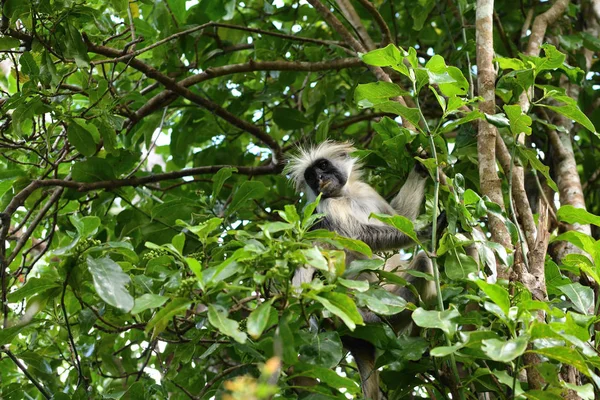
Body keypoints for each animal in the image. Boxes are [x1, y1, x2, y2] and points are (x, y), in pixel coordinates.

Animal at [284, 141, 442, 400]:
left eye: (323, 166)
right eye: (310, 176)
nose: (318, 178)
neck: (345, 195)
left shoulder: (366, 191)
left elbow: (400, 217)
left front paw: (420, 166)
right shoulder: (325, 206)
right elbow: (358, 238)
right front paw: (427, 229)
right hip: (376, 312)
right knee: (421, 261)